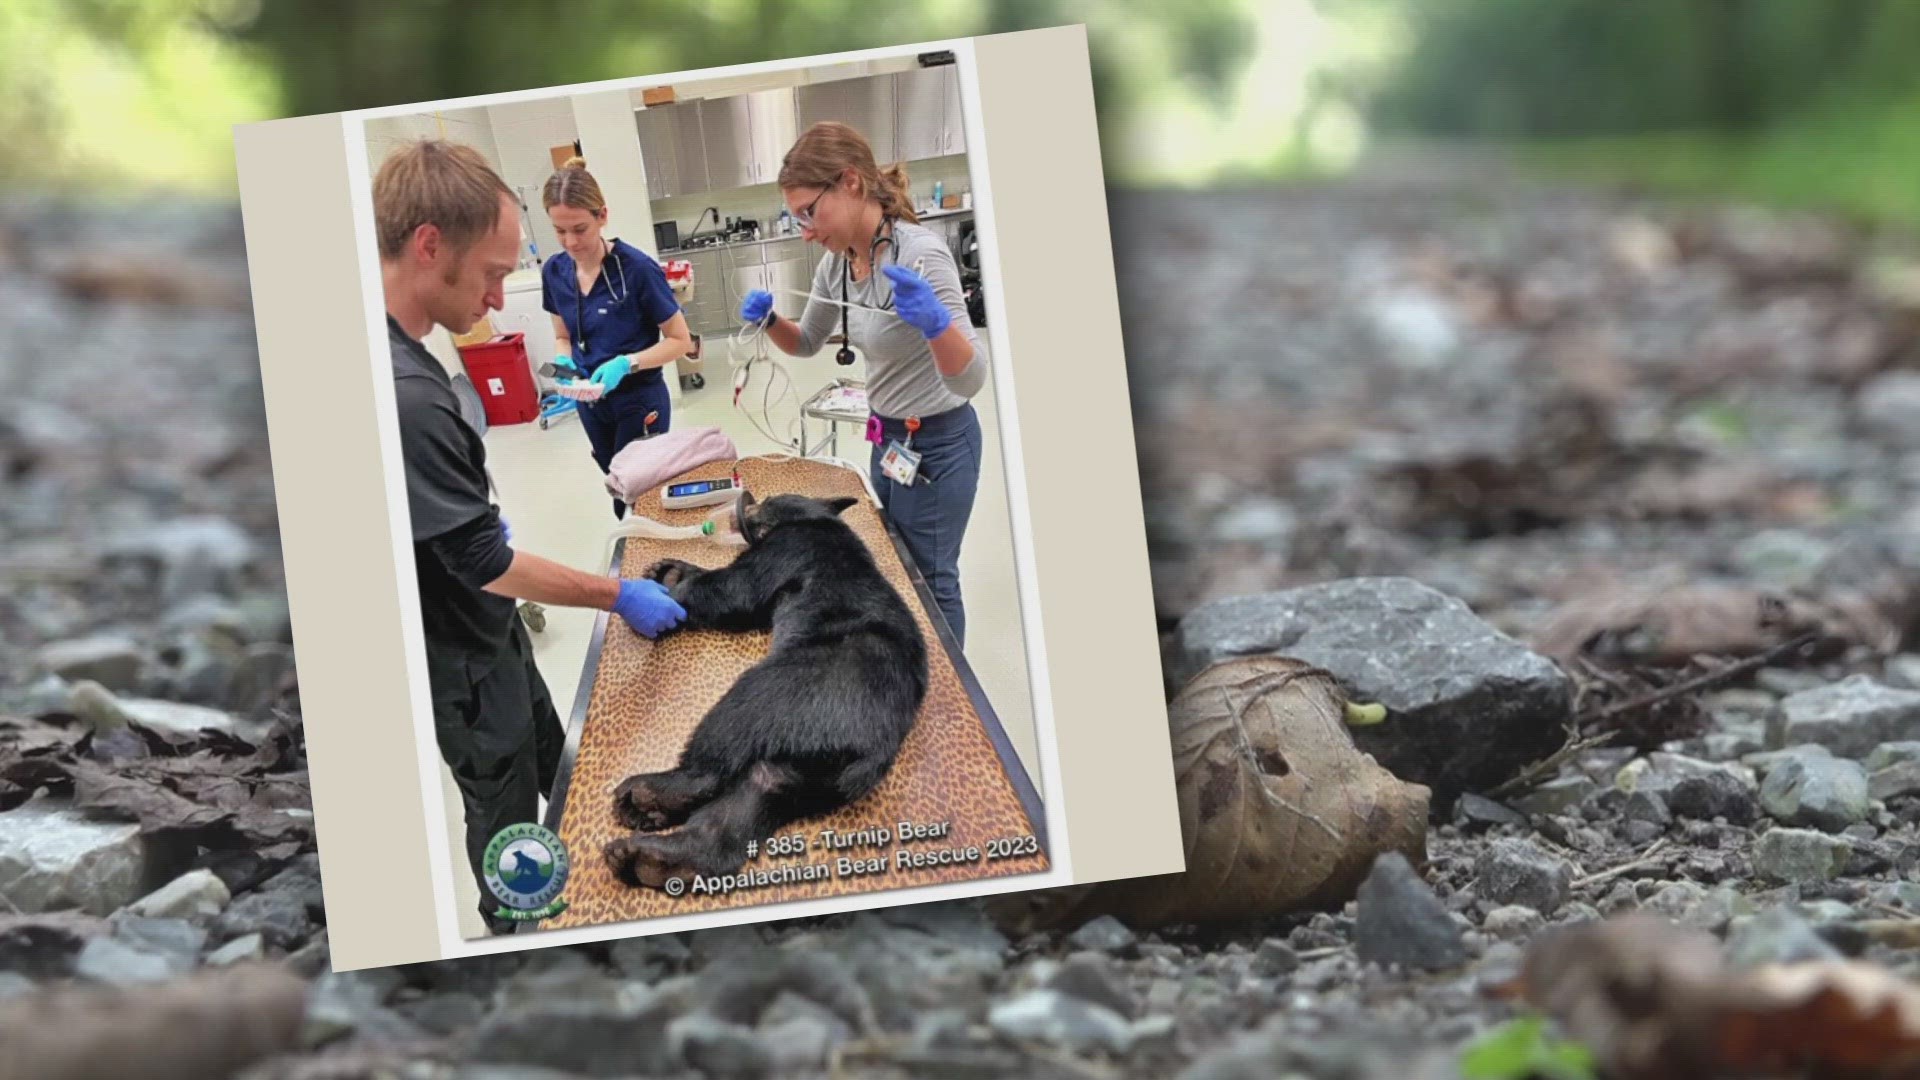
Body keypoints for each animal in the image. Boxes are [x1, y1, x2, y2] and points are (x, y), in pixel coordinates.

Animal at [602, 491, 925, 887]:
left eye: (769, 498)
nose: (747, 503)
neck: (811, 518)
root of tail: (869, 753)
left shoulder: (783, 550)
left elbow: (730, 589)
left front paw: (656, 598)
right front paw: (669, 568)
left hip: (783, 693)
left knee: (718, 752)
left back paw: (647, 795)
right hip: (802, 773)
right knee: (752, 797)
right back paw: (653, 857)